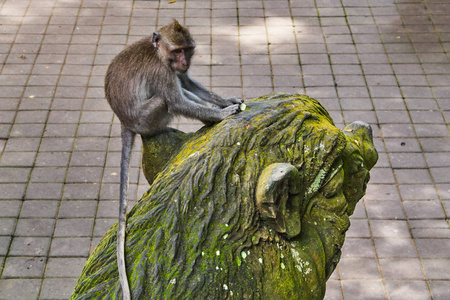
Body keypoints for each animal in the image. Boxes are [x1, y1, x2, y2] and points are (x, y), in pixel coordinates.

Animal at [104, 19, 243, 298]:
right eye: (177, 51)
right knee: (164, 100)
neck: (159, 54)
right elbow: (177, 101)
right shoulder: (161, 72)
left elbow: (188, 83)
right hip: (147, 120)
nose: (184, 61)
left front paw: (224, 102)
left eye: (187, 50)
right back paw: (206, 119)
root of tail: (124, 122)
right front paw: (221, 115)